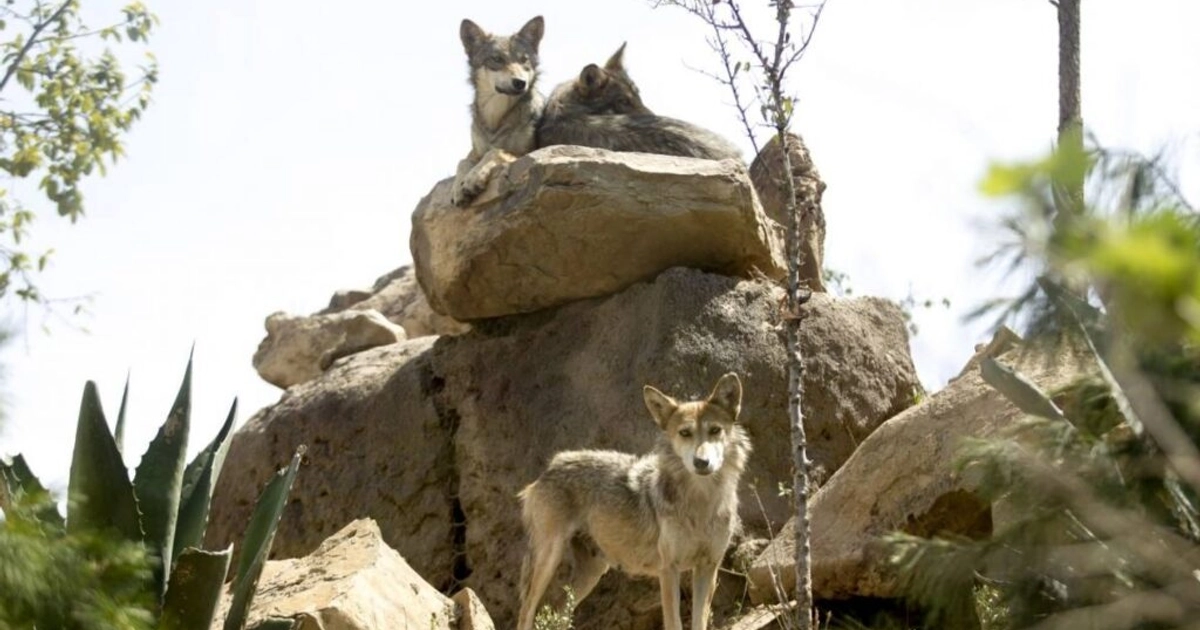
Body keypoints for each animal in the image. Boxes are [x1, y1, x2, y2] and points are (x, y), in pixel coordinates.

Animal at [451, 16, 545, 208]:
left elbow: (495, 151)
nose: (520, 83)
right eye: (497, 59)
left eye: (524, 60)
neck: (496, 116)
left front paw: (473, 178)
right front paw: (458, 188)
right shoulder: (474, 152)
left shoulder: (529, 152)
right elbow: (462, 161)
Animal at [516, 373, 751, 630]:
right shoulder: (668, 569)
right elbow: (674, 622)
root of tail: (552, 464)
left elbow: (699, 622)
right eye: (685, 433)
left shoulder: (708, 567)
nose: (701, 462)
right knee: (527, 612)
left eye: (715, 430)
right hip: (549, 559)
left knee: (557, 611)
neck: (701, 503)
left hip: (591, 573)